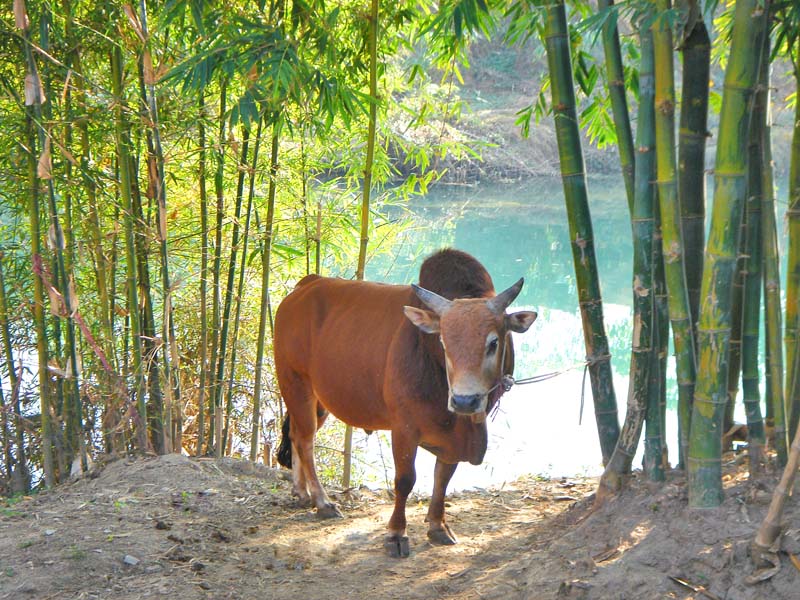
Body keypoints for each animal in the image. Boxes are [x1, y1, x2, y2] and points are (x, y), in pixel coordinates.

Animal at [276, 248, 536, 556]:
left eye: (493, 343)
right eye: (443, 342)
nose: (464, 400)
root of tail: (307, 284)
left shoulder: (453, 437)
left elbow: (442, 477)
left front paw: (437, 525)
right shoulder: (404, 429)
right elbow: (404, 480)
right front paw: (396, 533)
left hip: (319, 399)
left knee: (295, 434)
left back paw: (301, 491)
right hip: (296, 383)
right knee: (305, 440)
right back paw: (322, 501)